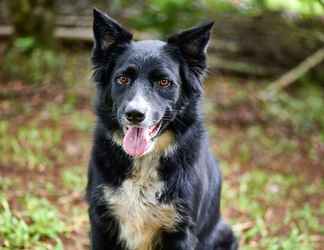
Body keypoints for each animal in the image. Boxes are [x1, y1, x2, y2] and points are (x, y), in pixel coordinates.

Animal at [86, 8, 238, 250]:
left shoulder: (181, 231)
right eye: (122, 79)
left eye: (164, 82)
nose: (135, 114)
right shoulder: (101, 222)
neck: (144, 162)